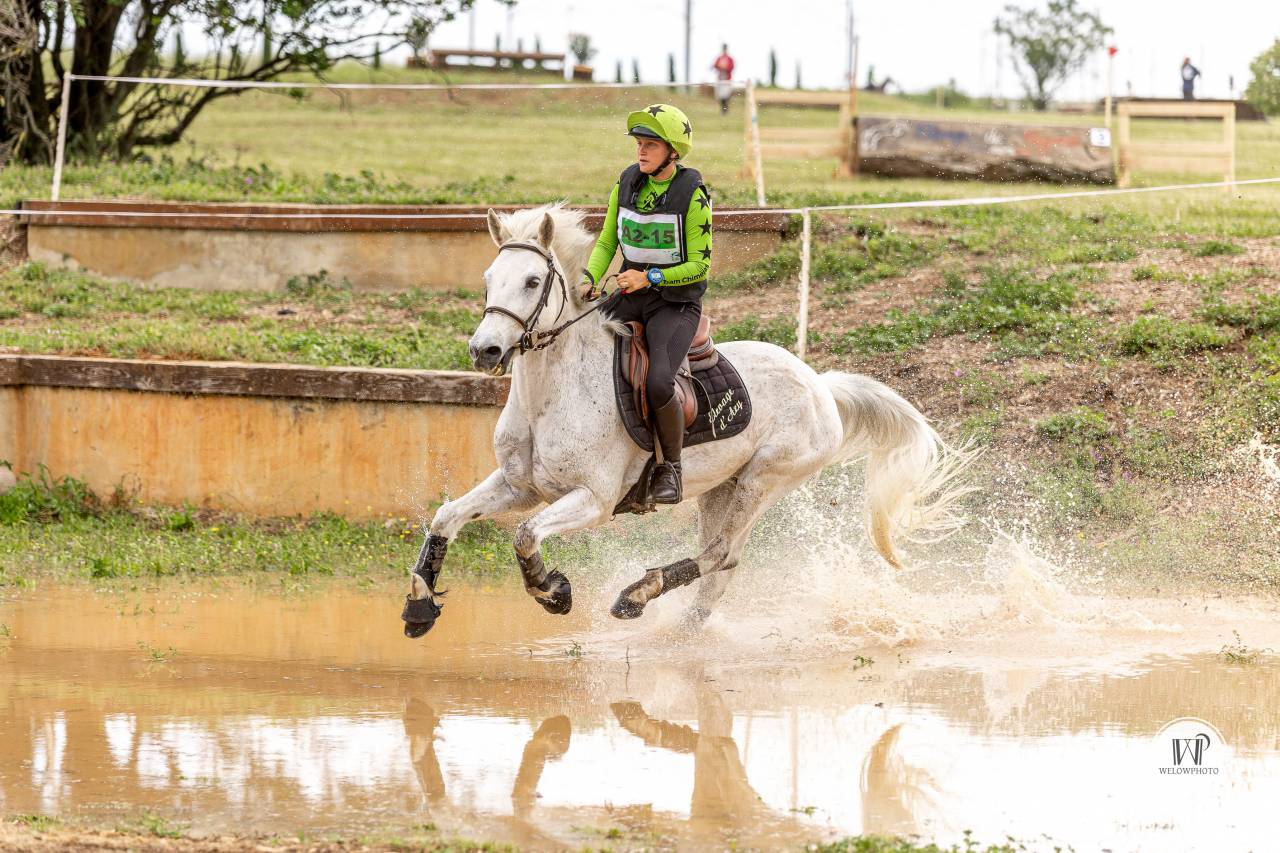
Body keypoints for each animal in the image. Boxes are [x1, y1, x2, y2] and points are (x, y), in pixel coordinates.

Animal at [400, 204, 971, 638]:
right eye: (488, 280)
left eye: (533, 280)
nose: (485, 351)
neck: (550, 396)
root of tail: (820, 385)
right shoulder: (519, 485)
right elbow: (446, 517)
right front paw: (420, 605)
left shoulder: (593, 499)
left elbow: (524, 535)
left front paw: (552, 592)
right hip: (721, 487)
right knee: (724, 564)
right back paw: (684, 630)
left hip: (765, 480)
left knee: (719, 554)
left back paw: (637, 596)